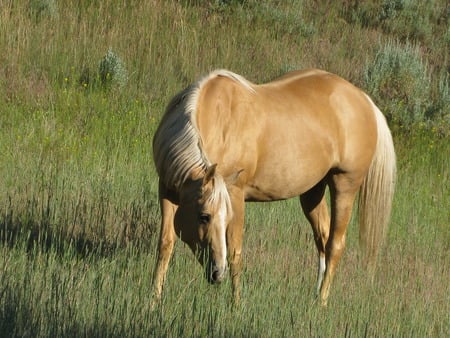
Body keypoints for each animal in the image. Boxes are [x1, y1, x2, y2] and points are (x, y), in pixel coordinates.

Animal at [150, 68, 394, 306]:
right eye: (204, 216)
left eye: (224, 218)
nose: (217, 273)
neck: (218, 120)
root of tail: (365, 101)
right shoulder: (168, 192)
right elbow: (165, 243)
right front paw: (153, 300)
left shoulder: (235, 195)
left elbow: (235, 252)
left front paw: (236, 307)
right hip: (313, 193)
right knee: (323, 238)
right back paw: (314, 296)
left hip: (345, 185)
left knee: (336, 244)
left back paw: (321, 303)